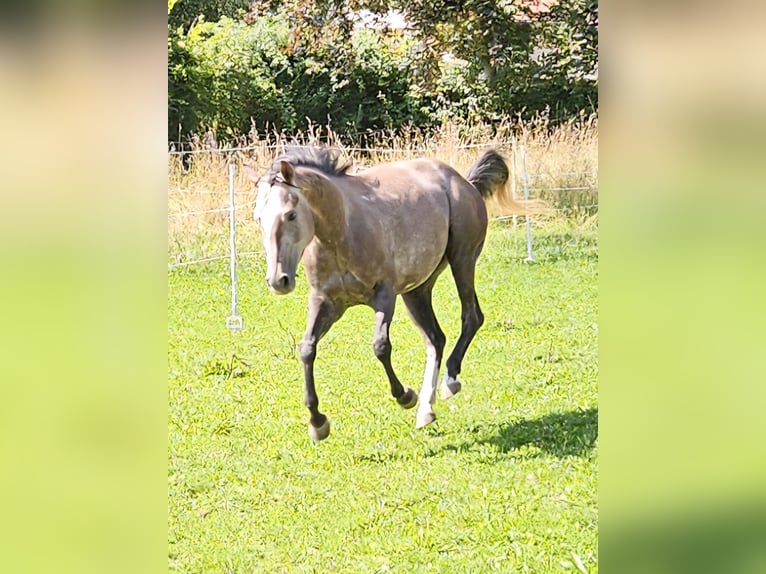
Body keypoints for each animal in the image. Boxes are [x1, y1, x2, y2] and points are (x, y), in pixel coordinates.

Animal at [245, 146, 529, 441]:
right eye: (259, 218)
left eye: (290, 214)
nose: (278, 280)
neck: (342, 229)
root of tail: (465, 182)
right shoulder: (325, 301)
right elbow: (306, 349)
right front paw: (318, 423)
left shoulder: (385, 295)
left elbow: (381, 347)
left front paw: (405, 396)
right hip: (417, 290)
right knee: (435, 339)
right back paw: (426, 411)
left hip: (462, 259)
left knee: (471, 317)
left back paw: (449, 383)